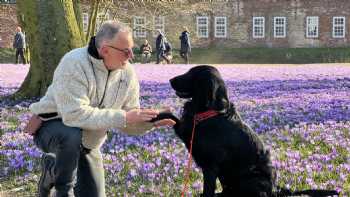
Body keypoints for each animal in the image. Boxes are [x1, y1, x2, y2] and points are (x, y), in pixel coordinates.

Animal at [151, 65, 340, 197]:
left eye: (192, 73)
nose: (170, 79)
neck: (213, 112)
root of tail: (275, 189)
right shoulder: (188, 135)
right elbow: (173, 117)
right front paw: (154, 116)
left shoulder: (210, 165)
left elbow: (207, 191)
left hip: (249, 179)